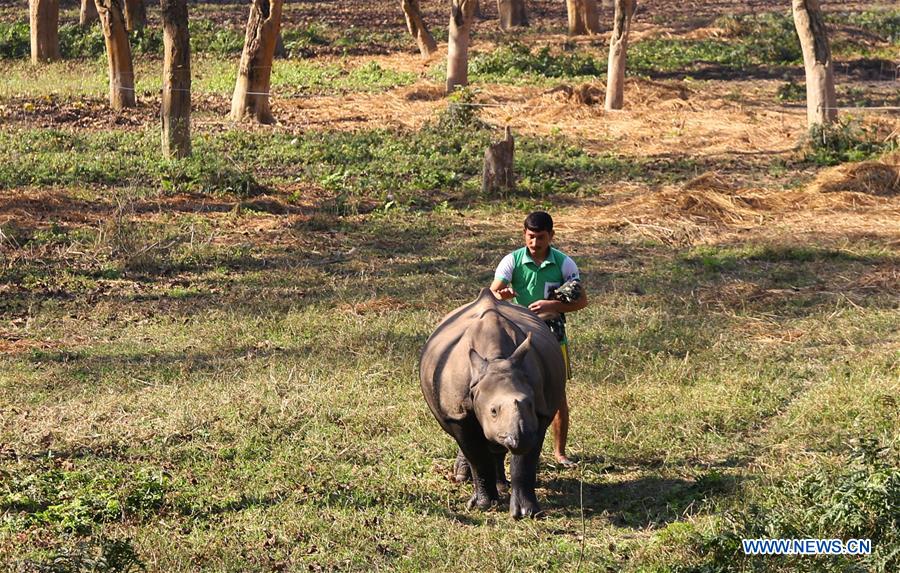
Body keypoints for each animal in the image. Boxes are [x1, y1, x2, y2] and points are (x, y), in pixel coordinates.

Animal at [420, 288, 564, 516]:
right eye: (493, 411)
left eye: (530, 405)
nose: (518, 439)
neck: (496, 359)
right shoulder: (457, 414)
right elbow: (477, 456)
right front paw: (484, 505)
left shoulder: (541, 411)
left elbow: (525, 462)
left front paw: (527, 512)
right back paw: (464, 479)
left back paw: (502, 486)